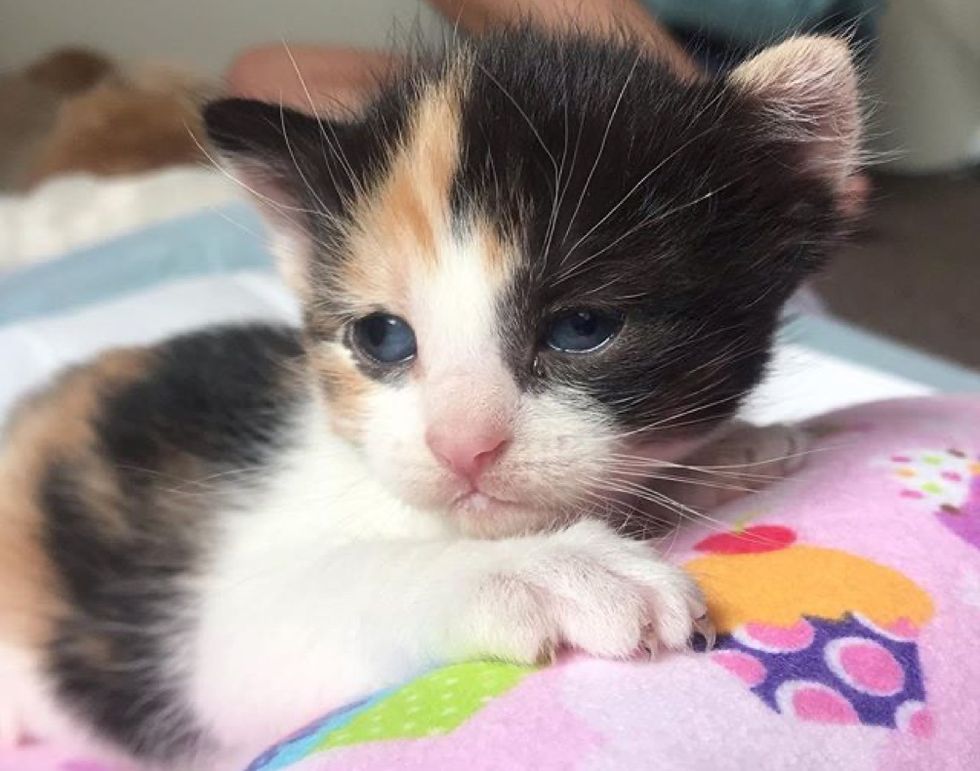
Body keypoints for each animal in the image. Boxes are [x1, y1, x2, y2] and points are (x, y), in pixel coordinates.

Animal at [0, 27, 856, 768]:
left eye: (582, 327)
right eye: (382, 337)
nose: (460, 443)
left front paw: (730, 450)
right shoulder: (207, 636)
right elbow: (315, 596)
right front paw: (550, 571)